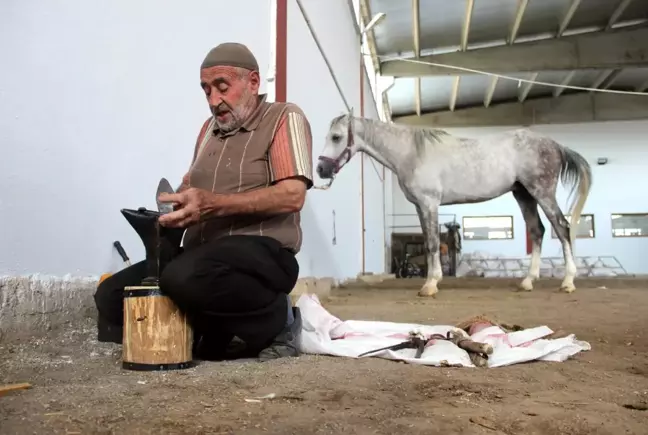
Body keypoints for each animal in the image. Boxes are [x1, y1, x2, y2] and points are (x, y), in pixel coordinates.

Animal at [314, 114, 592, 298]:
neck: (411, 153)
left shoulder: (429, 203)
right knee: (538, 231)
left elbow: (433, 243)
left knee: (562, 227)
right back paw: (527, 282)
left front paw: (430, 285)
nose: (321, 169)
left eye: (336, 137)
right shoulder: (420, 206)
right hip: (524, 194)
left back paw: (568, 282)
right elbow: (428, 242)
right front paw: (431, 280)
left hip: (542, 192)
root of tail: (555, 145)